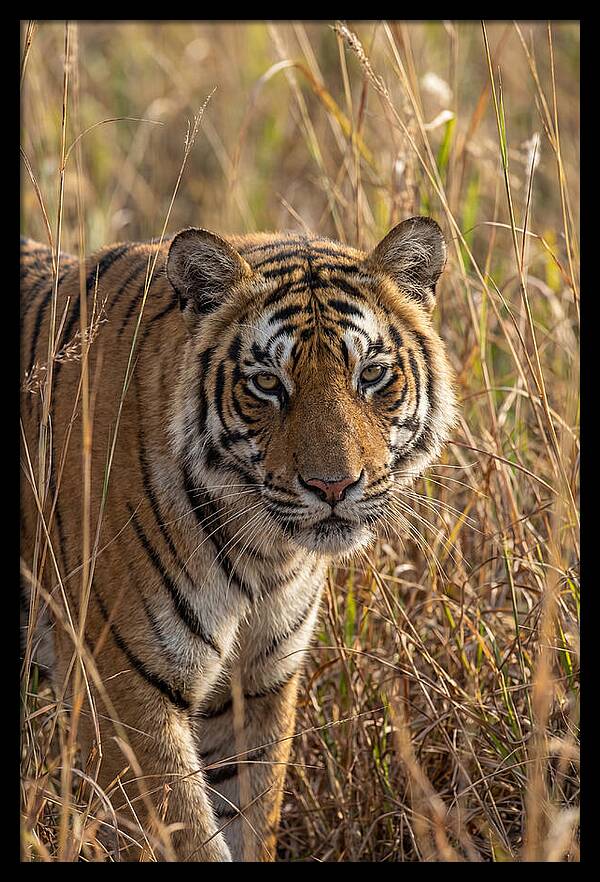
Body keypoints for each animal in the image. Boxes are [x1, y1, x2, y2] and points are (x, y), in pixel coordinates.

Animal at [20, 216, 457, 862]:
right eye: (268, 384)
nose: (333, 485)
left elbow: (250, 817)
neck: (264, 555)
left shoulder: (257, 683)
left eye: (372, 375)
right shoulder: (122, 690)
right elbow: (188, 836)